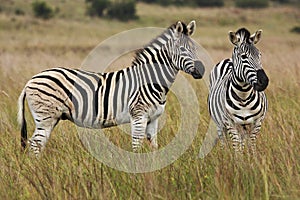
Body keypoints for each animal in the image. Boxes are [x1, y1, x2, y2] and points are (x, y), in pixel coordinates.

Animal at [17, 19, 205, 155]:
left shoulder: (153, 119)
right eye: (182, 49)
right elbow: (136, 146)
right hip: (46, 117)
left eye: (195, 49)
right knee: (34, 145)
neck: (151, 81)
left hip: (51, 118)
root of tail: (30, 81)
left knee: (37, 144)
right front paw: (138, 172)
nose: (201, 70)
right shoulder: (138, 116)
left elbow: (154, 146)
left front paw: (155, 170)